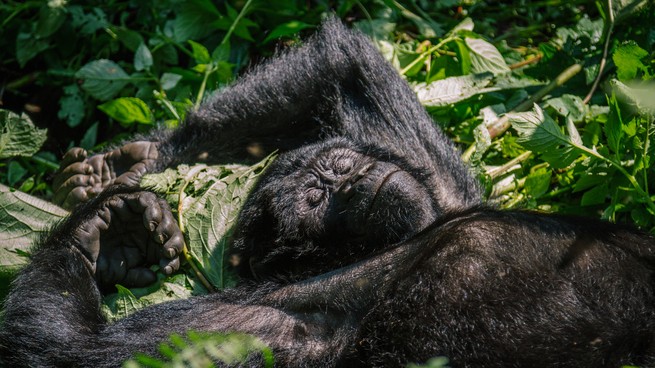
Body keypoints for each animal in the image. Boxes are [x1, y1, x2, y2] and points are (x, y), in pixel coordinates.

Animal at [1, 18, 655, 368]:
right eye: (315, 202)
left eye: (339, 164)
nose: (353, 180)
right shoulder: (270, 317)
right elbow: (81, 353)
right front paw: (102, 231)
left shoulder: (437, 183)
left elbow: (343, 64)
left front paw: (132, 167)